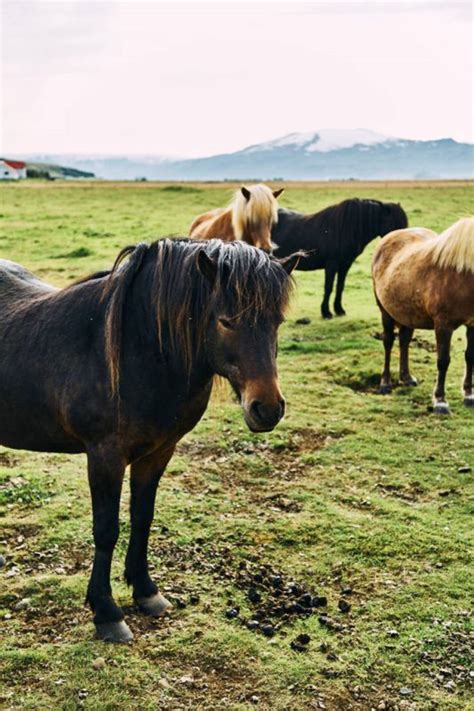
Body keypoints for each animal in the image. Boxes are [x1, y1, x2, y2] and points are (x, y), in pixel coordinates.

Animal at [0, 241, 298, 644]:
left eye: (277, 322)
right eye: (225, 320)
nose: (266, 408)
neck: (137, 353)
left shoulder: (158, 452)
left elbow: (142, 517)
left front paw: (145, 591)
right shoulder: (105, 456)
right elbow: (106, 529)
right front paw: (106, 612)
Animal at [270, 195, 408, 318]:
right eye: (395, 225)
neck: (346, 229)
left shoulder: (345, 265)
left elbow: (340, 287)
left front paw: (339, 309)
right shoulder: (331, 265)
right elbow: (329, 287)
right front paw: (326, 312)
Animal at [374, 218, 474, 418]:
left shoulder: (473, 323)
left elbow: (470, 356)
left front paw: (469, 395)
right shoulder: (443, 325)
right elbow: (443, 361)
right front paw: (440, 402)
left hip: (407, 315)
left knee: (404, 341)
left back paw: (406, 377)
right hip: (385, 312)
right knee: (388, 342)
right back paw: (385, 383)